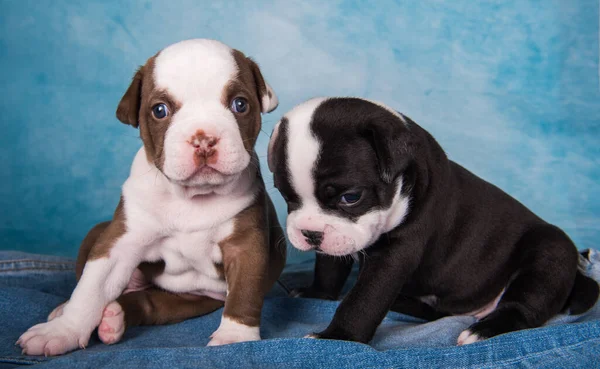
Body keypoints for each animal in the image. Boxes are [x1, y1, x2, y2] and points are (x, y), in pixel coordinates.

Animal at [18, 38, 286, 356]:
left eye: (240, 104)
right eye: (160, 110)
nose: (203, 139)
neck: (193, 198)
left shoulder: (244, 246)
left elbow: (244, 291)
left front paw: (235, 338)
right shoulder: (120, 241)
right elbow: (91, 288)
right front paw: (63, 331)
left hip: (191, 301)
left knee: (152, 305)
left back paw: (114, 317)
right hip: (96, 233)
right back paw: (68, 310)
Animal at [268, 96, 600, 344]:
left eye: (351, 197)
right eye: (287, 197)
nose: (310, 234)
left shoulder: (395, 253)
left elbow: (365, 298)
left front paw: (338, 337)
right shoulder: (336, 241)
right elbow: (329, 266)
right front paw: (319, 293)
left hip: (550, 250)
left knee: (526, 305)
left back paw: (483, 330)